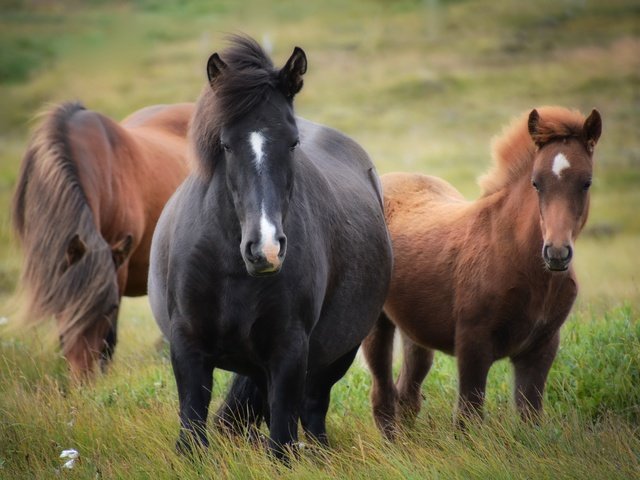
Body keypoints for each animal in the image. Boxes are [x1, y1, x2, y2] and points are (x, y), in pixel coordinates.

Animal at [148, 36, 392, 458]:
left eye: (292, 143)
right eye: (226, 145)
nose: (266, 249)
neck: (231, 268)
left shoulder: (289, 350)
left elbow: (281, 440)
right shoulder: (187, 345)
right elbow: (192, 432)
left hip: (336, 355)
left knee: (312, 410)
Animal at [362, 106, 604, 438]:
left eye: (587, 182)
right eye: (536, 183)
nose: (556, 253)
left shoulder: (541, 347)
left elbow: (530, 416)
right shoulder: (472, 343)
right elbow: (468, 416)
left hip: (415, 330)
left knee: (407, 393)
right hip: (376, 324)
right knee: (383, 394)